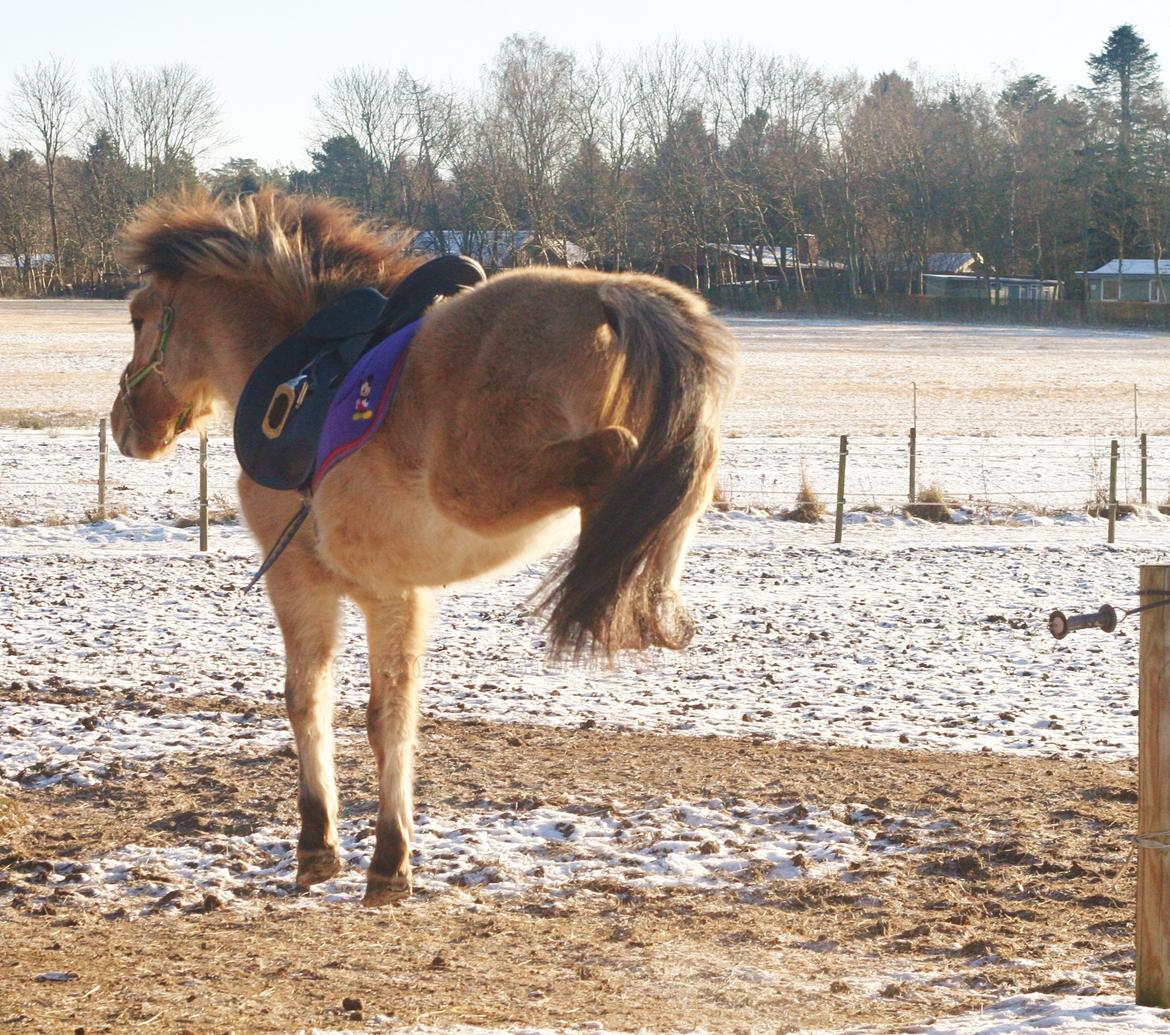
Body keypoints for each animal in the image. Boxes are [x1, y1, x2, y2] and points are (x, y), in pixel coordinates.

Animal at [110, 190, 737, 906]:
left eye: (138, 317)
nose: (124, 426)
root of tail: (609, 290)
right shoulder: (399, 597)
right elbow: (394, 718)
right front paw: (392, 854)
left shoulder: (305, 581)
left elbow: (317, 703)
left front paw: (334, 850)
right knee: (682, 478)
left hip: (477, 487)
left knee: (619, 458)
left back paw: (607, 577)